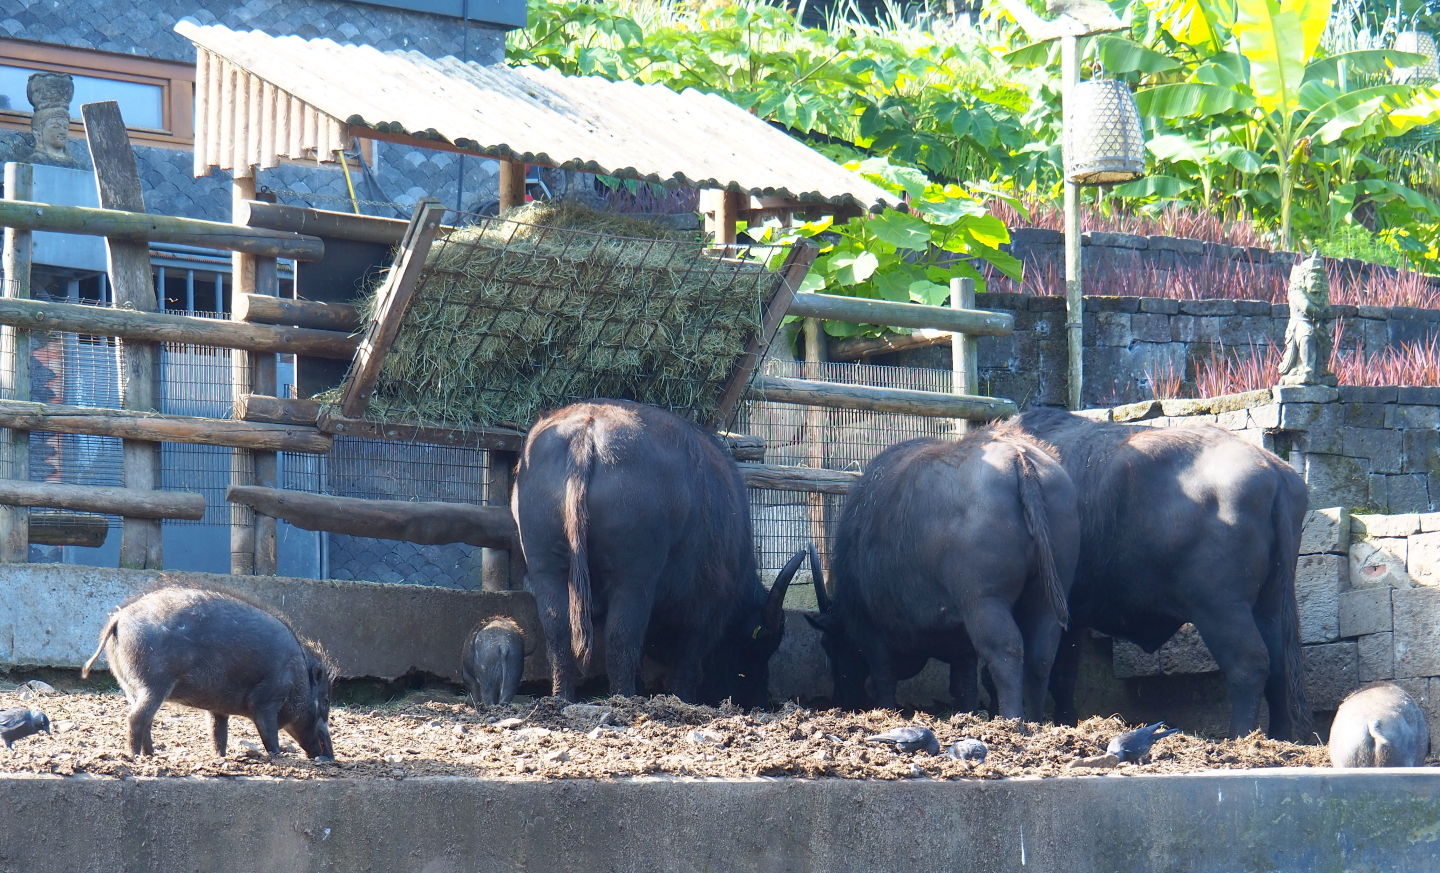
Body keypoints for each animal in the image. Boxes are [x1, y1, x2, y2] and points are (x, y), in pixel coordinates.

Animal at [82, 587, 335, 759]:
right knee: (135, 719)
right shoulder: (265, 700)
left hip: (130, 687)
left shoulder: (218, 708)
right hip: (154, 685)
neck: (298, 675)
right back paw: (136, 757)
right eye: (325, 701)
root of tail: (119, 617)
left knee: (145, 721)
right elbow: (269, 734)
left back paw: (151, 755)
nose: (330, 758)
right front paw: (278, 756)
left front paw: (220, 757)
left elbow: (218, 734)